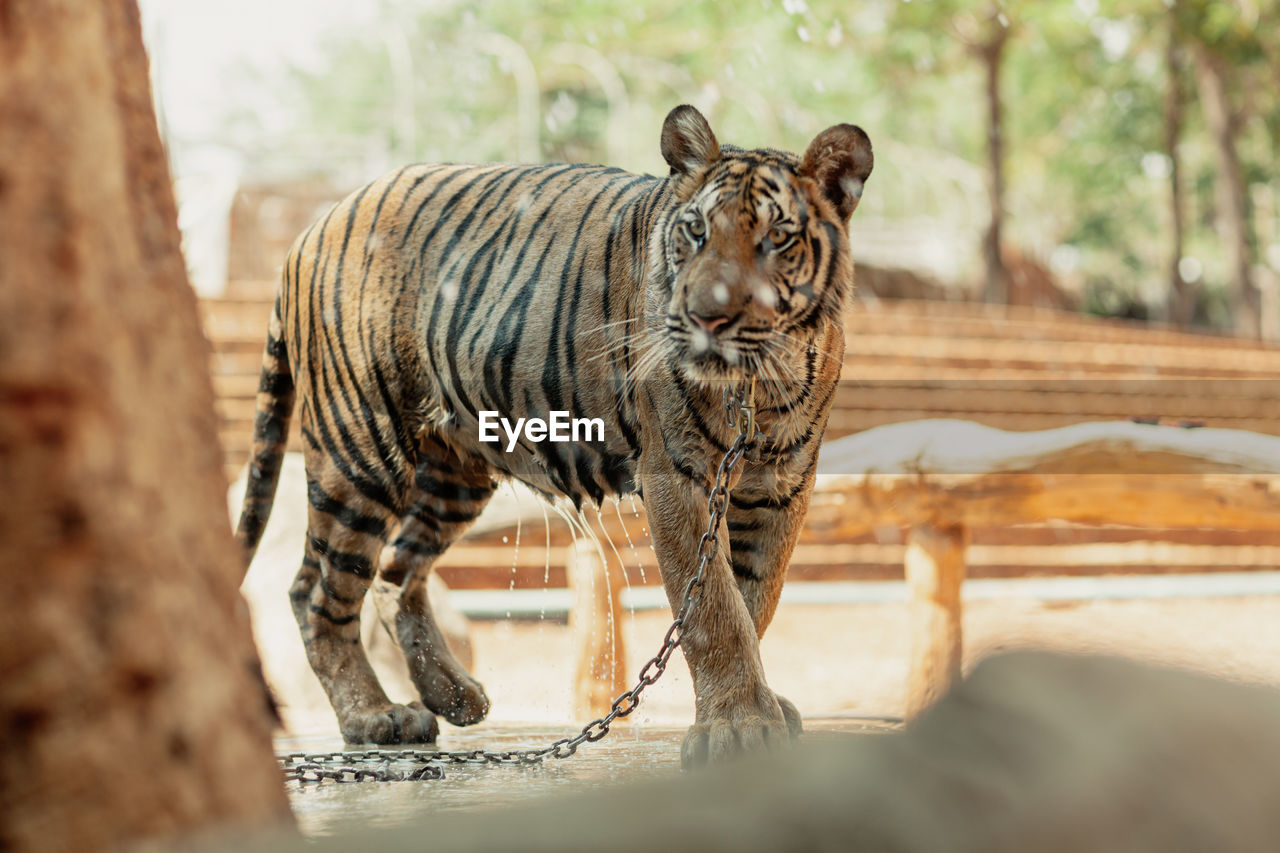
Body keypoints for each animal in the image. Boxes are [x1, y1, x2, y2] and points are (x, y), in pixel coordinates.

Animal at [232, 104, 870, 763]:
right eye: (695, 232)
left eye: (777, 239)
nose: (705, 316)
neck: (757, 382)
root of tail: (315, 224)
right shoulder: (675, 477)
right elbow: (714, 608)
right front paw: (738, 724)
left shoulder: (781, 486)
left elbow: (754, 596)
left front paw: (758, 707)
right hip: (361, 450)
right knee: (316, 590)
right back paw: (374, 716)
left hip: (453, 475)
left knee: (395, 573)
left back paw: (454, 696)